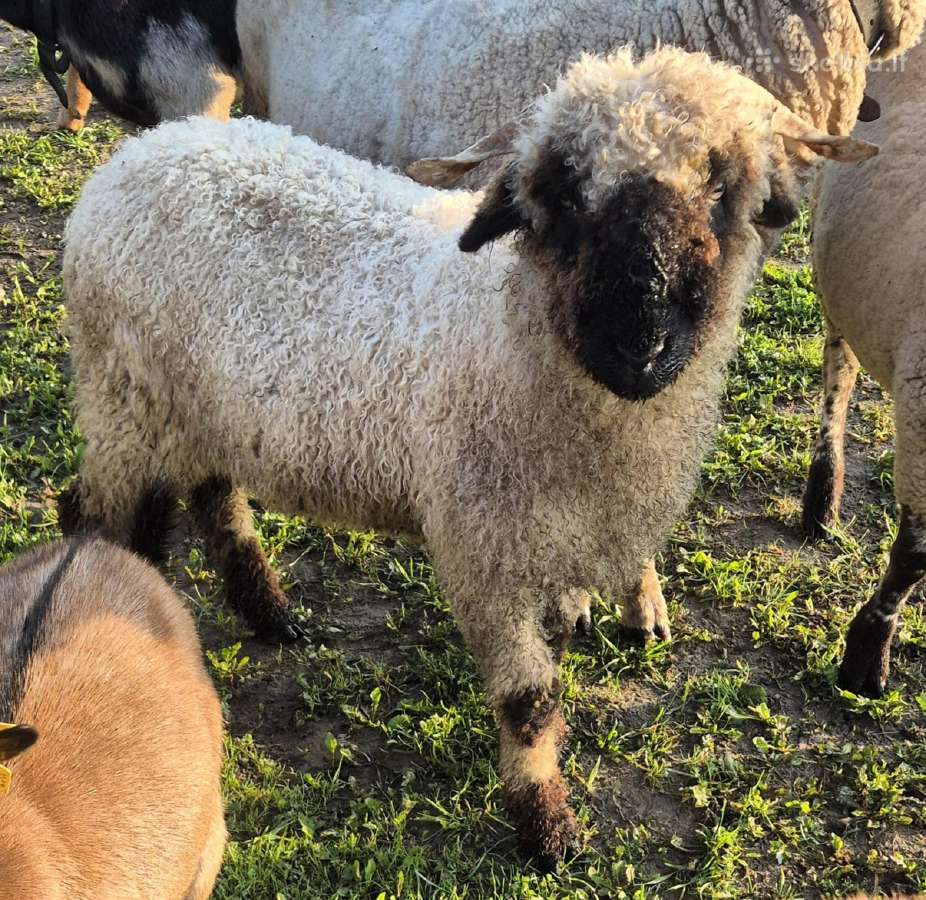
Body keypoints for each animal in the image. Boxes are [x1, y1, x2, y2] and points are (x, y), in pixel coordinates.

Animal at [62, 47, 876, 867]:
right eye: (565, 196)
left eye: (722, 188)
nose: (638, 348)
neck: (512, 334)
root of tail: (139, 154)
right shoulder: (485, 553)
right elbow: (528, 700)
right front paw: (548, 830)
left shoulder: (557, 540)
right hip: (123, 399)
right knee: (97, 515)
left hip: (203, 411)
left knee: (214, 497)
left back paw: (270, 614)